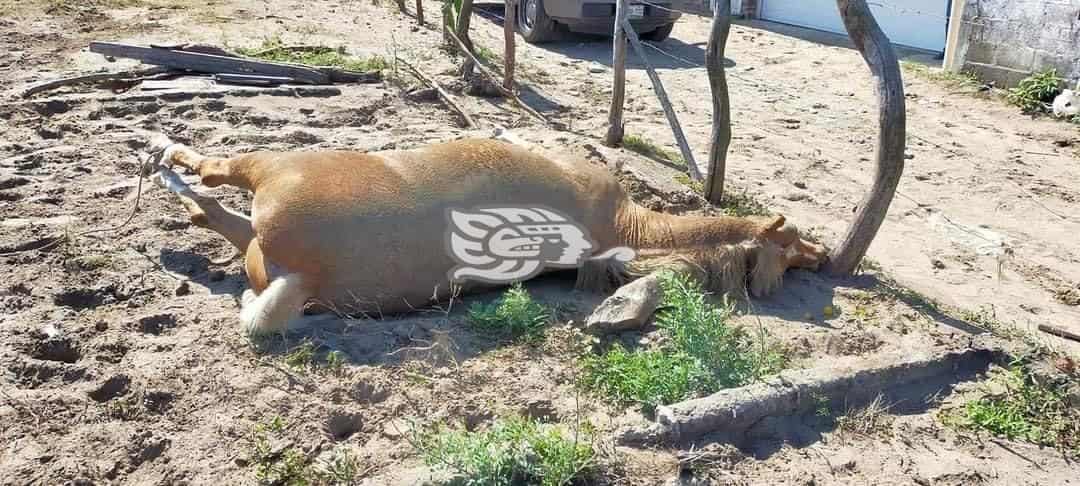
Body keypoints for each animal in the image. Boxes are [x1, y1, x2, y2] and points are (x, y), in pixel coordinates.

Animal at [147, 135, 825, 336]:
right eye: (791, 244)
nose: (821, 256)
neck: (622, 222)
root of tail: (302, 273)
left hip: (274, 188)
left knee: (215, 199)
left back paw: (166, 169)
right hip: (273, 179)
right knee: (215, 187)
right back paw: (162, 158)